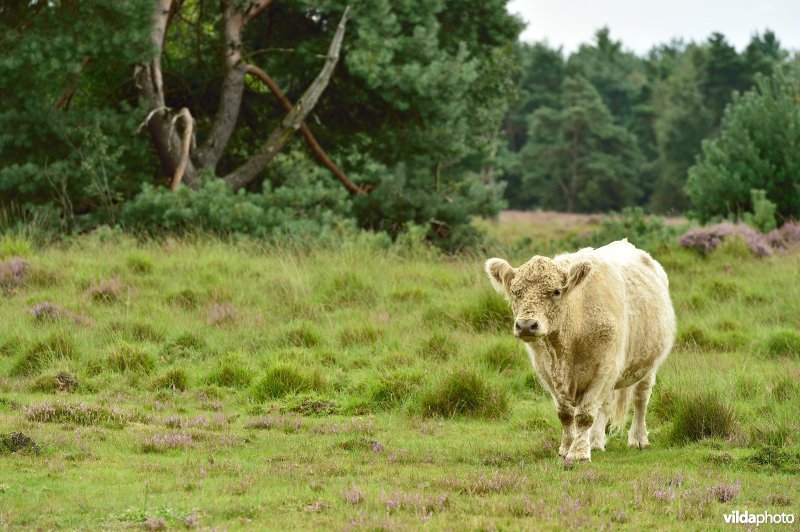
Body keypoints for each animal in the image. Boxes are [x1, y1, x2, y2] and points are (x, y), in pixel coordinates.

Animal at [488, 240, 676, 462]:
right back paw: (595, 442)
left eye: (556, 291)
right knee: (605, 406)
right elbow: (566, 414)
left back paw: (638, 439)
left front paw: (578, 453)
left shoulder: (602, 369)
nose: (526, 325)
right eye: (516, 292)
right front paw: (566, 447)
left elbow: (585, 415)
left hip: (648, 365)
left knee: (640, 399)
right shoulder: (547, 373)